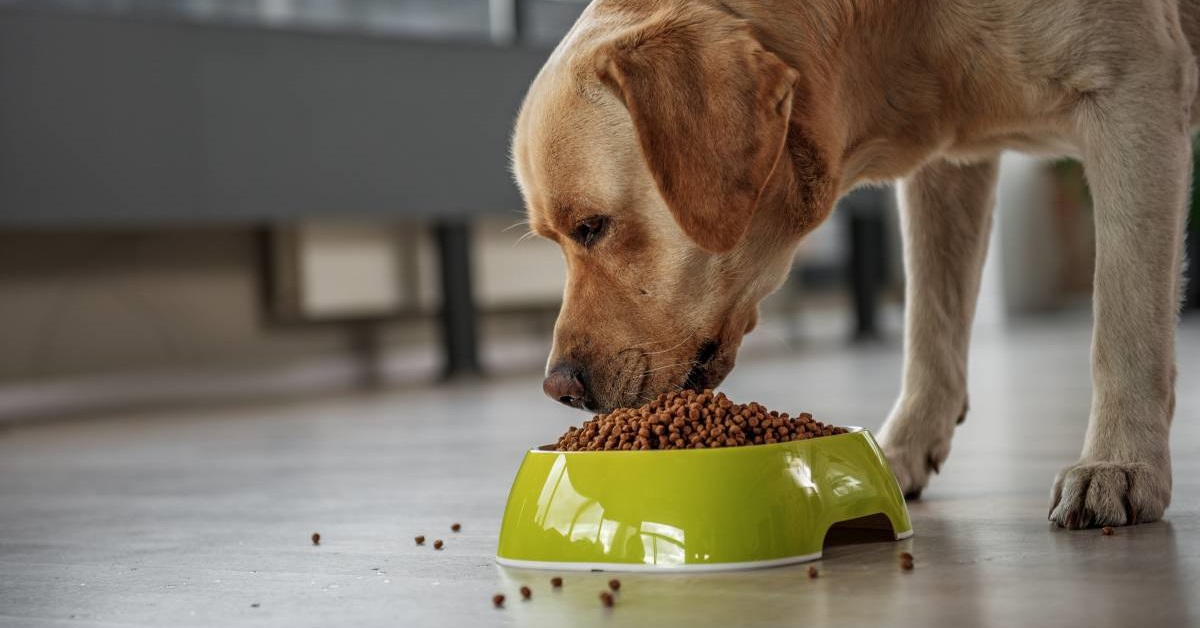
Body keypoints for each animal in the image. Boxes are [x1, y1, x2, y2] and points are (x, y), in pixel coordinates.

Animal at [508, 0, 1200, 530]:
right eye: (554, 239)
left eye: (592, 227)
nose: (559, 388)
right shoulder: (950, 163)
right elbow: (930, 326)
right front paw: (898, 452)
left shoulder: (1134, 93)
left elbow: (1124, 323)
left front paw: (1120, 464)